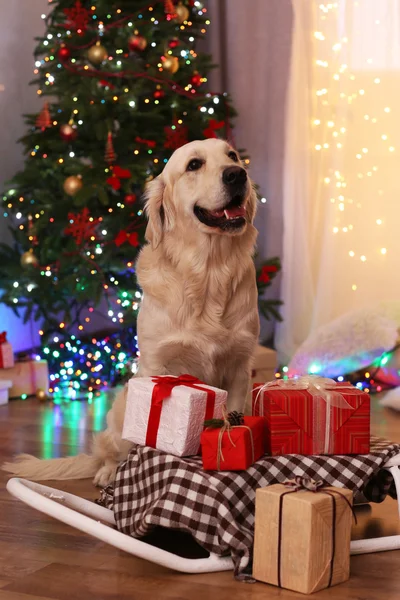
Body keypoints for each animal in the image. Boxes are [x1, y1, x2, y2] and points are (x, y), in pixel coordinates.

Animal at [4, 138, 260, 486]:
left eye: (232, 156)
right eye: (194, 165)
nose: (237, 174)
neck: (208, 273)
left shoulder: (239, 366)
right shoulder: (157, 365)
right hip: (120, 408)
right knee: (111, 453)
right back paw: (108, 472)